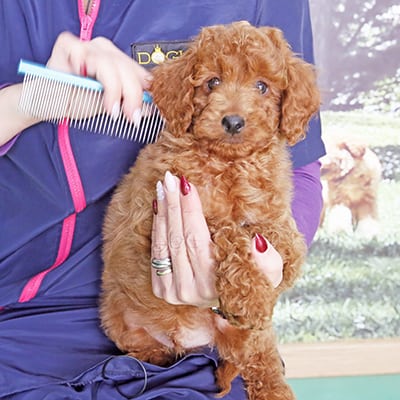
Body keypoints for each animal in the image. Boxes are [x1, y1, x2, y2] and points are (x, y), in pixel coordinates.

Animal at [101, 22, 322, 400]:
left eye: (262, 86)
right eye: (212, 82)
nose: (232, 121)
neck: (231, 162)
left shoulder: (268, 207)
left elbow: (278, 233)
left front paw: (282, 265)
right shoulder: (162, 204)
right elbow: (228, 232)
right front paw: (251, 293)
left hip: (249, 340)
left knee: (259, 357)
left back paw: (274, 389)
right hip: (121, 322)